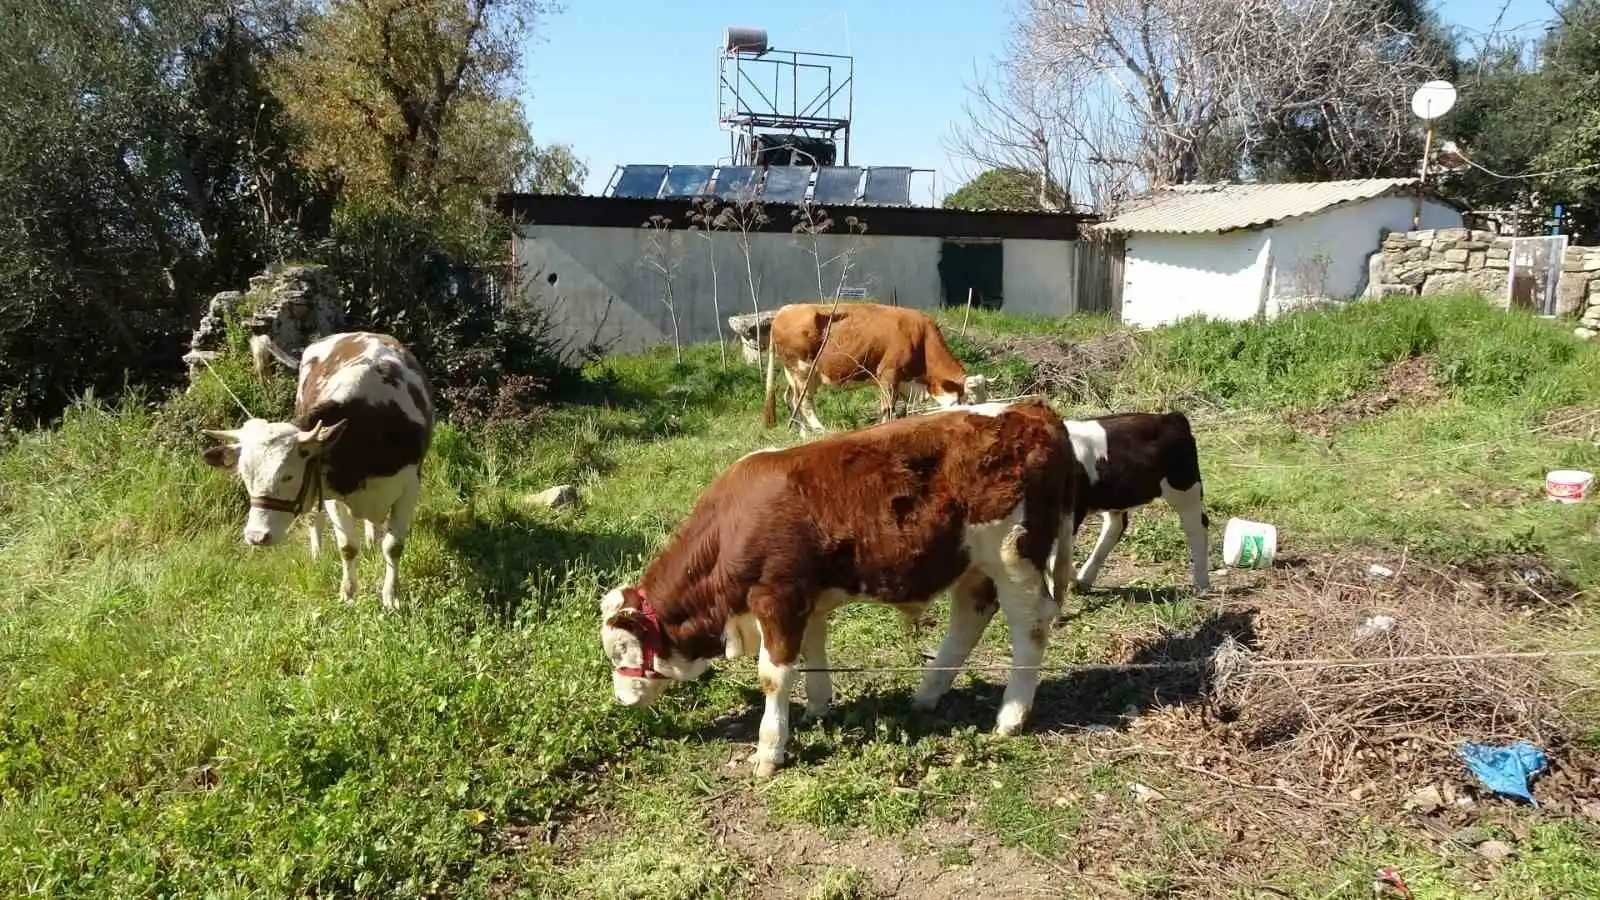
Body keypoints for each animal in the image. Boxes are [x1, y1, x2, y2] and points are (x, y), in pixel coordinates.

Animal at [200, 329, 438, 608]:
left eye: (288, 475)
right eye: (246, 476)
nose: (256, 536)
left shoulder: (409, 487)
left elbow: (393, 546)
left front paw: (391, 597)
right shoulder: (330, 489)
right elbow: (347, 546)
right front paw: (348, 593)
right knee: (316, 517)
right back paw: (318, 554)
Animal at [598, 395, 1075, 775]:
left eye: (624, 651)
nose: (621, 700)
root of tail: (1034, 409)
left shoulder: (777, 597)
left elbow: (774, 676)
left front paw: (769, 752)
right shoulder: (807, 599)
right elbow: (813, 652)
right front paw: (817, 707)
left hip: (1015, 558)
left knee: (1030, 628)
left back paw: (1010, 717)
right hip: (972, 564)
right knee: (968, 620)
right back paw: (926, 695)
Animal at [764, 301, 972, 435]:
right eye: (960, 400)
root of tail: (784, 311)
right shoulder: (889, 374)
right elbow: (887, 408)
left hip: (798, 373)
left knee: (790, 398)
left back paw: (803, 433)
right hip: (802, 370)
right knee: (804, 402)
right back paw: (820, 429)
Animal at [1049, 409, 1209, 592]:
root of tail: (1171, 417)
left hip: (1185, 488)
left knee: (1197, 527)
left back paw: (1202, 583)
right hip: (1116, 498)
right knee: (1115, 525)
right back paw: (1083, 580)